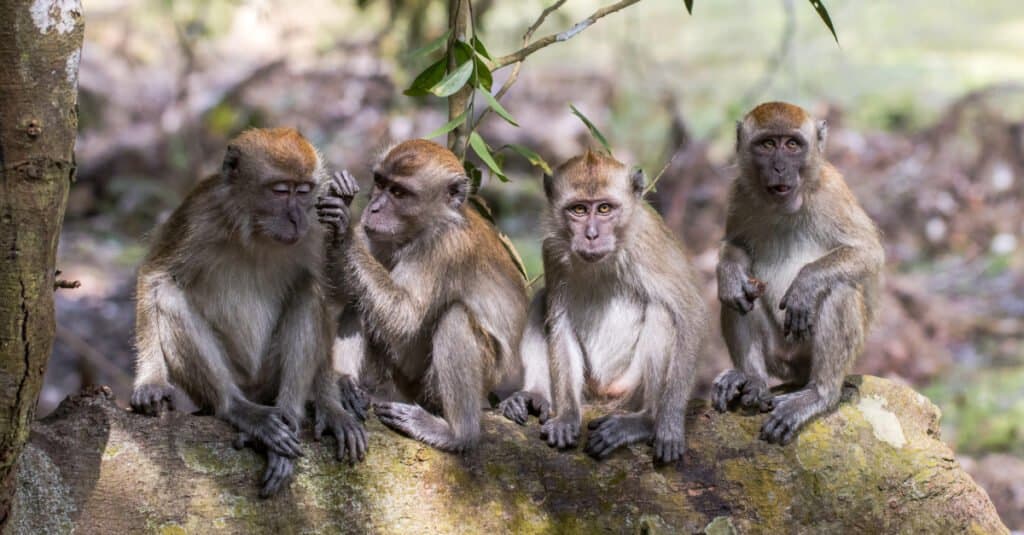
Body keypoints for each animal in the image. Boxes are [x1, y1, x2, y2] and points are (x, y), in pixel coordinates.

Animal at [130, 126, 366, 496]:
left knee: (308, 291)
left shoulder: (314, 230)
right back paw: (241, 411)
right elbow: (155, 275)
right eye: (281, 190)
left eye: (304, 191)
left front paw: (331, 406)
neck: (256, 230)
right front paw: (150, 381)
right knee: (168, 295)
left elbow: (330, 297)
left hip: (269, 378)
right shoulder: (199, 213)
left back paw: (289, 416)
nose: (297, 217)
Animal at [317, 139, 528, 450]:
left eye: (399, 193)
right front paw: (338, 199)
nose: (373, 209)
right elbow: (342, 290)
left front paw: (344, 230)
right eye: (380, 183)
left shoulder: (445, 247)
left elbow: (405, 316)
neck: (424, 229)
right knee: (361, 299)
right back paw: (345, 385)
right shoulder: (380, 236)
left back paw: (458, 433)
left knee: (454, 317)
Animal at [503, 149, 704, 461]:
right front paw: (567, 416)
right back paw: (536, 395)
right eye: (579, 210)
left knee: (661, 310)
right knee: (541, 299)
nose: (591, 235)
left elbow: (690, 313)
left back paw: (647, 419)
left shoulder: (649, 242)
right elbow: (559, 320)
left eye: (605, 209)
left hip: (627, 388)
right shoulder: (552, 249)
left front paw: (669, 422)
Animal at [712, 101, 888, 442]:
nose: (780, 167)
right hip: (778, 357)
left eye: (793, 145)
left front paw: (805, 284)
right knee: (741, 297)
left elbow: (868, 253)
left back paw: (819, 394)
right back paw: (752, 379)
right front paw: (728, 273)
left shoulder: (833, 192)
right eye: (768, 145)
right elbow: (736, 246)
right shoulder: (740, 192)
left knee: (839, 290)